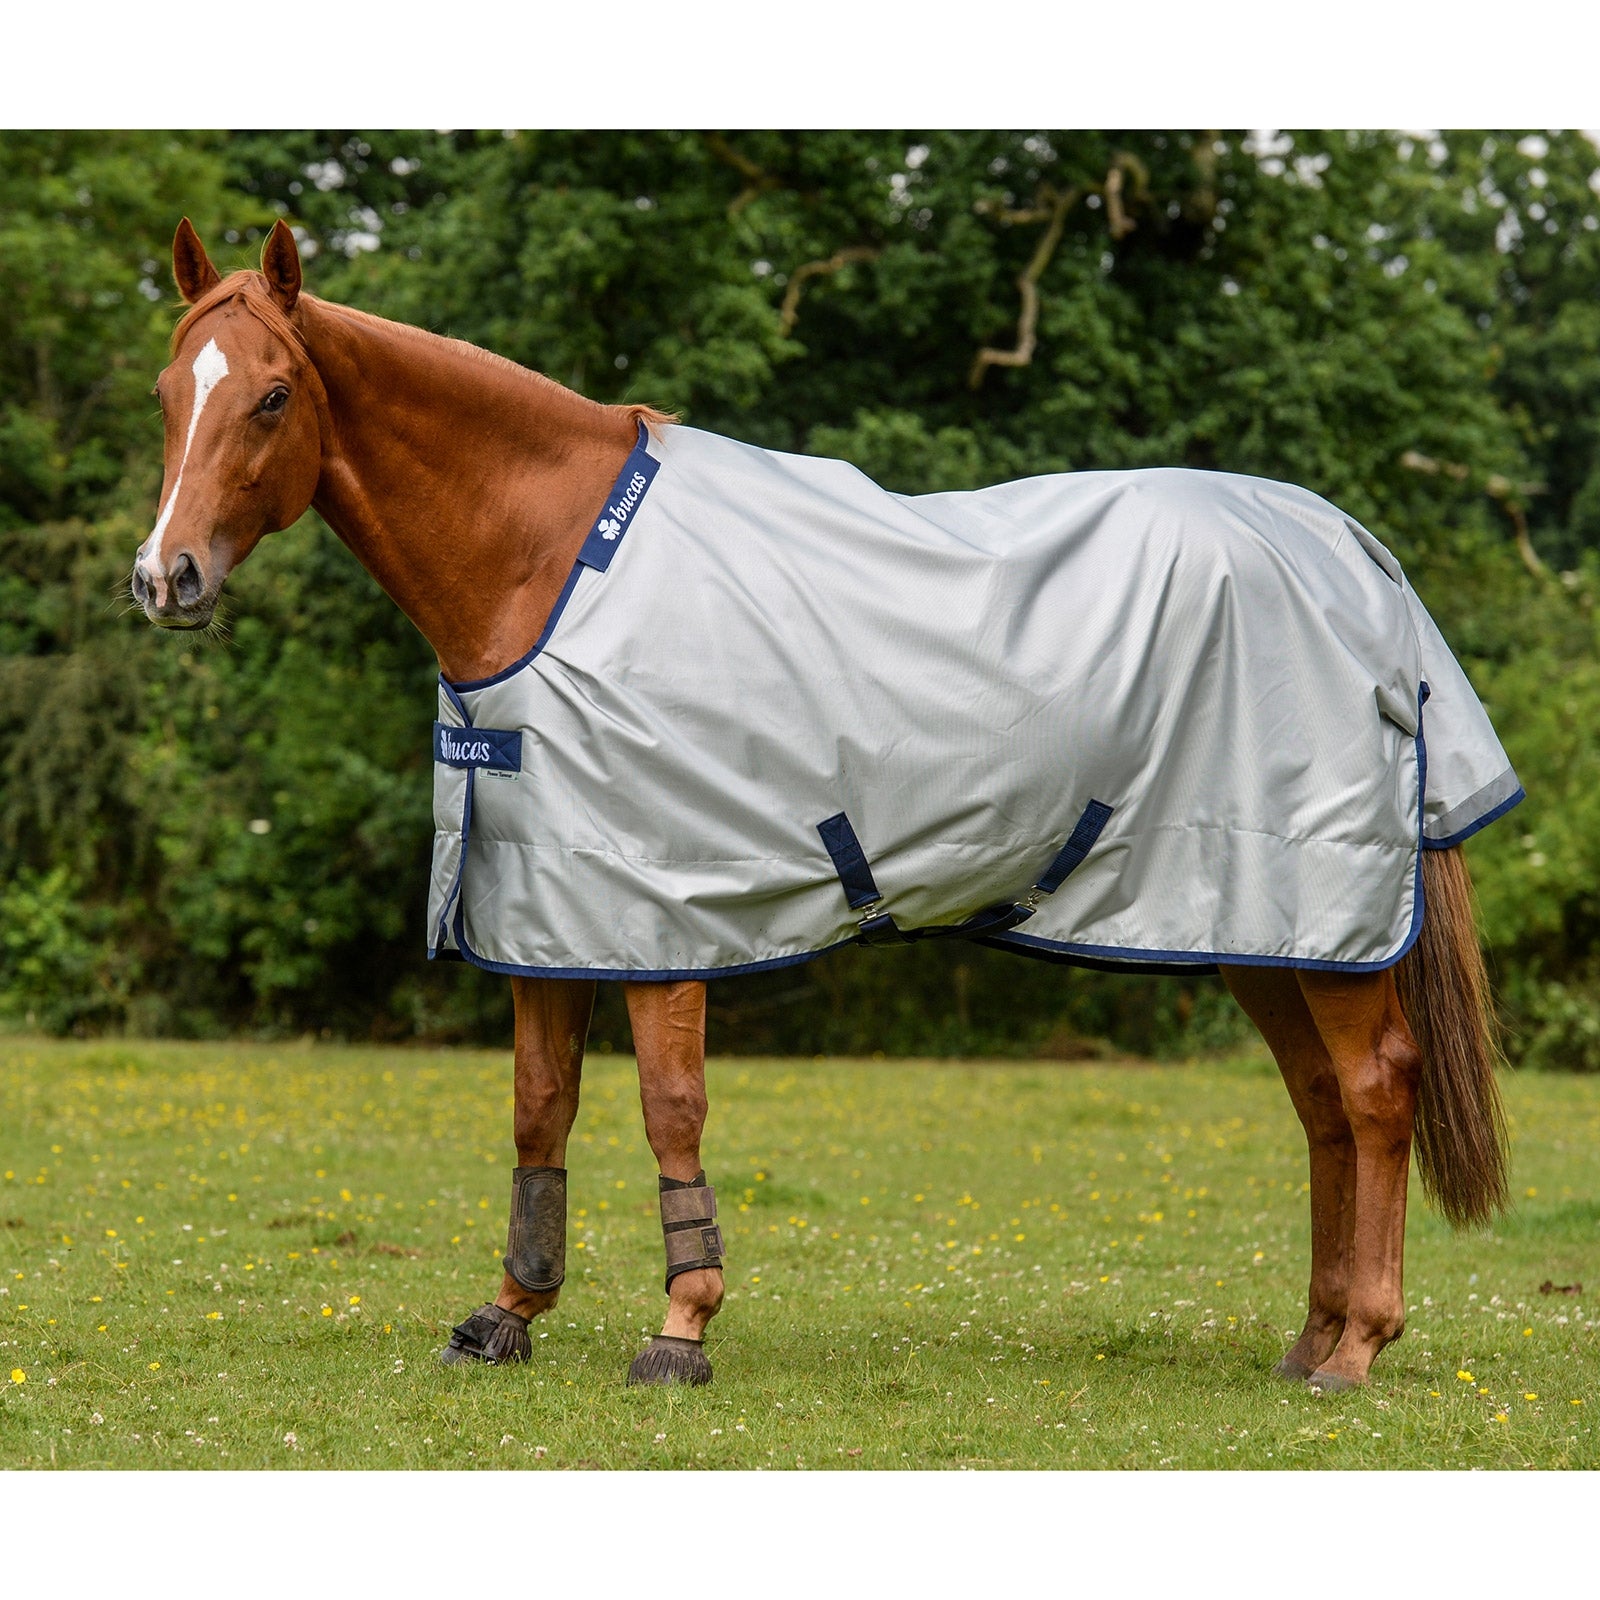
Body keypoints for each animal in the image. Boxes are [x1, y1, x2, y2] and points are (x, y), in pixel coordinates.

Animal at [132, 218, 1514, 1394]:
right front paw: (508, 1313)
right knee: (1321, 1104)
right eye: (166, 393)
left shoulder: (661, 908)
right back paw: (1310, 1335)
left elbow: (669, 1108)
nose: (165, 578)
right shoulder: (543, 904)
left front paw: (681, 1327)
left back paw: (1357, 1349)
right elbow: (539, 1106)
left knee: (1375, 1087)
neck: (549, 561)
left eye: (271, 395)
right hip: (1256, 924)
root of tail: (1357, 555)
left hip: (1315, 909)